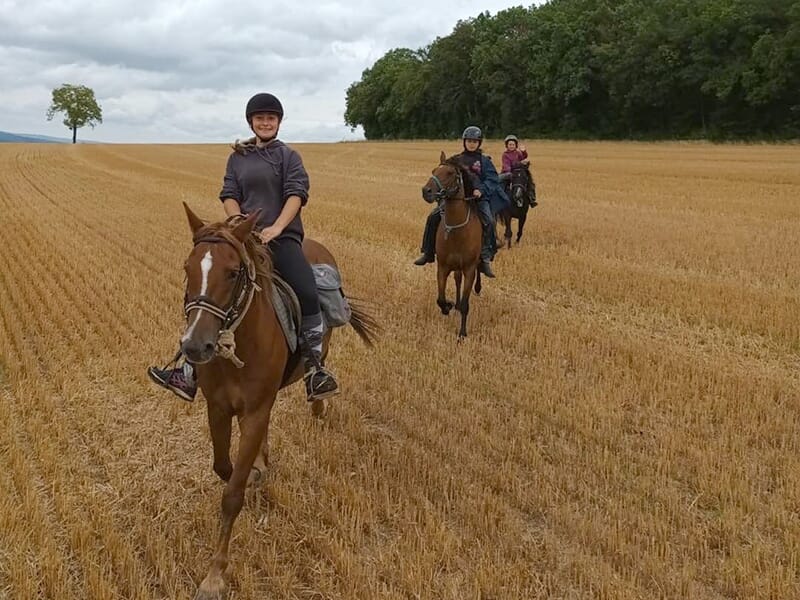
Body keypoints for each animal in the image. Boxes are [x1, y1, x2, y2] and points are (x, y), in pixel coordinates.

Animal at [178, 204, 376, 596]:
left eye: (233, 272)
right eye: (188, 268)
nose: (194, 345)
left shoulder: (255, 410)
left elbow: (232, 493)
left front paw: (214, 575)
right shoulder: (218, 408)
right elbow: (224, 468)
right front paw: (256, 472)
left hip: (319, 349)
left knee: (319, 363)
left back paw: (320, 398)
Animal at [422, 152, 484, 340]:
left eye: (449, 173)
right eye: (434, 170)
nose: (426, 191)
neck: (457, 231)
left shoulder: (469, 269)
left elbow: (465, 304)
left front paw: (462, 334)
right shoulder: (442, 267)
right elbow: (440, 299)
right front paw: (448, 306)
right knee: (457, 280)